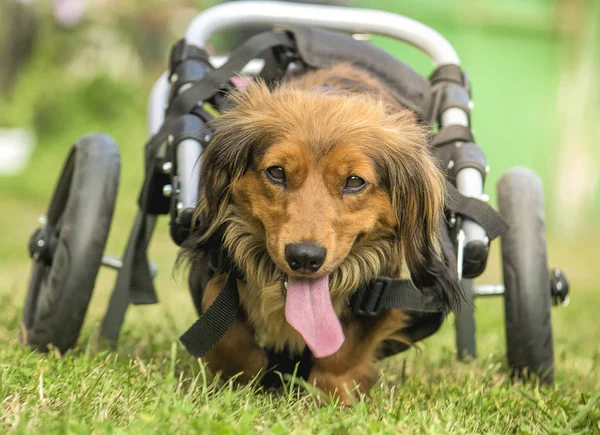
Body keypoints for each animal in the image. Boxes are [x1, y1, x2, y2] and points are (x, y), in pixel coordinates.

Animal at [183, 62, 460, 406]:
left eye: (354, 181)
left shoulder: (378, 290)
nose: (304, 257)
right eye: (276, 172)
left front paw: (331, 396)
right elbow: (223, 324)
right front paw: (242, 376)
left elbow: (342, 352)